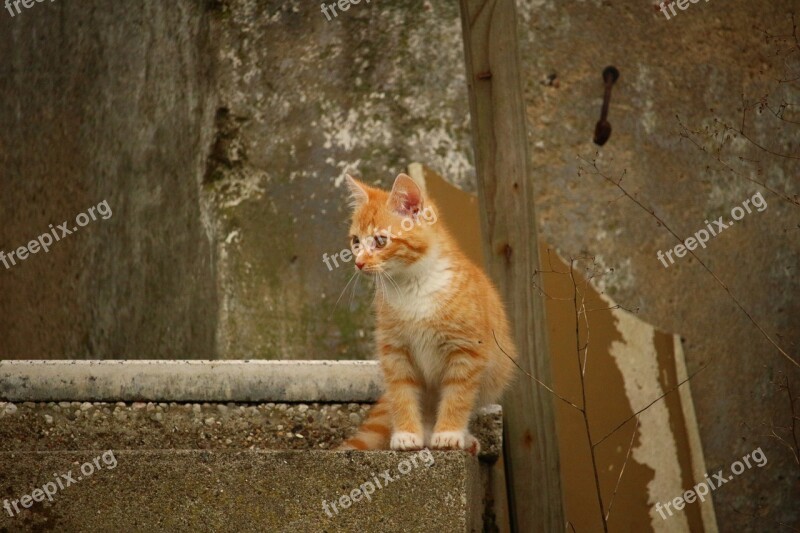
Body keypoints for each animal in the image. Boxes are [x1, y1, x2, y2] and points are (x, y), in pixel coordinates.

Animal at [340, 171, 520, 454]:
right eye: (356, 242)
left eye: (380, 241)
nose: (358, 262)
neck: (412, 287)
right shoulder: (395, 351)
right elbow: (402, 393)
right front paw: (407, 434)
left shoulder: (467, 351)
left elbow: (458, 396)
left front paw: (448, 433)